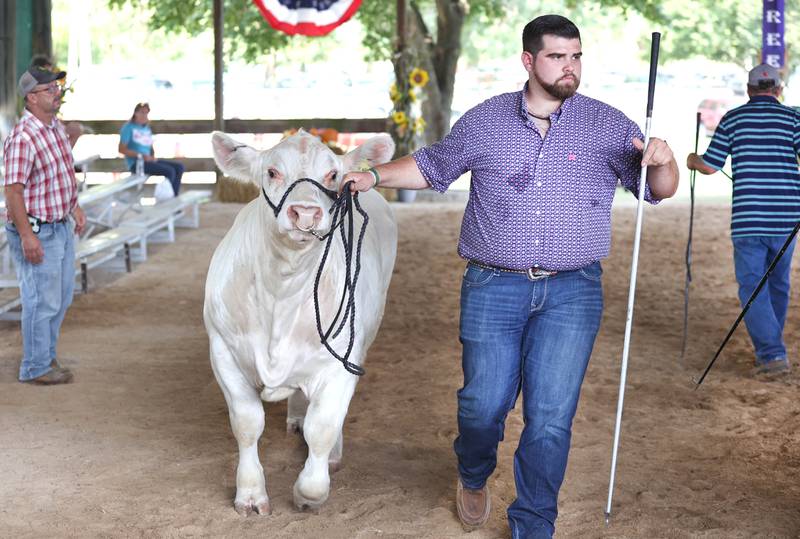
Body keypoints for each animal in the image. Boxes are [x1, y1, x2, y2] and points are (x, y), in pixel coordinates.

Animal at [203, 130, 396, 516]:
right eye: (272, 171)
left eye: (333, 175)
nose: (306, 212)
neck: (281, 289)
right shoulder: (223, 352)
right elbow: (247, 423)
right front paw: (250, 494)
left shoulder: (342, 365)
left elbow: (322, 426)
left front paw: (310, 492)